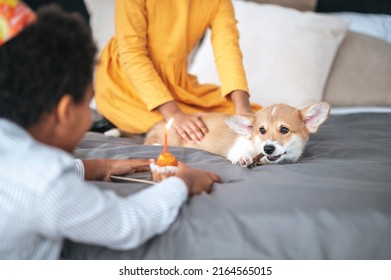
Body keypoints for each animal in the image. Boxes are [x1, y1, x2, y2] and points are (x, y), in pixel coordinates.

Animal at [144, 103, 330, 167]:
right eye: (262, 130)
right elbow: (239, 153)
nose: (268, 148)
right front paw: (243, 159)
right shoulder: (238, 147)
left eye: (284, 130)